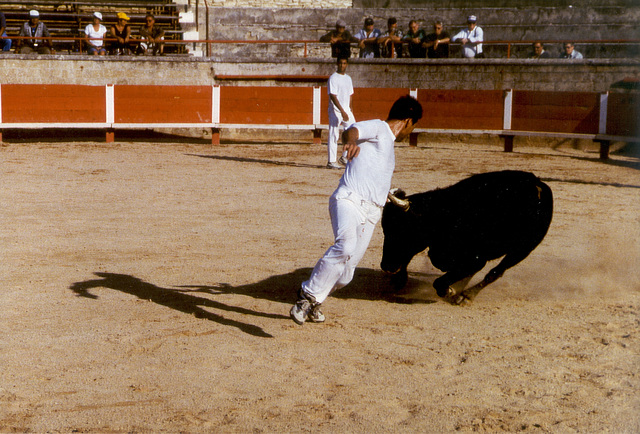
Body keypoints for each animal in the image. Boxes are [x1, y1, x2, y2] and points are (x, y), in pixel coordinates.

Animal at [380, 170, 556, 306]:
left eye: (403, 230)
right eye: (385, 230)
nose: (386, 266)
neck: (446, 215)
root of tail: (538, 184)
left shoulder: (477, 258)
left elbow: (441, 281)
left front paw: (450, 290)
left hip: (523, 249)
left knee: (495, 272)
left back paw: (466, 296)